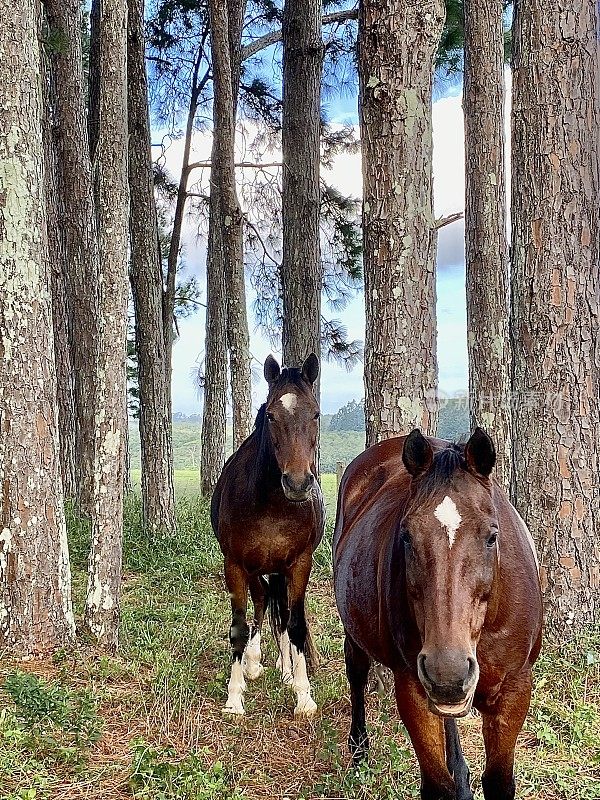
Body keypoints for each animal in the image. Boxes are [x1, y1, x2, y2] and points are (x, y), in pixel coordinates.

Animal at [211, 354, 324, 716]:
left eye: (315, 413)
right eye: (272, 415)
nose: (298, 483)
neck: (272, 505)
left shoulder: (300, 564)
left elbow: (295, 624)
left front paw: (303, 695)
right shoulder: (234, 564)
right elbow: (238, 626)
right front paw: (234, 697)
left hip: (278, 570)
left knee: (281, 613)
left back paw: (285, 669)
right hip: (256, 569)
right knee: (261, 603)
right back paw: (253, 662)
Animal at [332, 432, 544, 800]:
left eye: (492, 536)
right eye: (405, 536)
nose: (447, 672)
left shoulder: (514, 689)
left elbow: (498, 781)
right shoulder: (413, 690)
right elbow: (437, 785)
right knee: (356, 673)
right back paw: (359, 750)